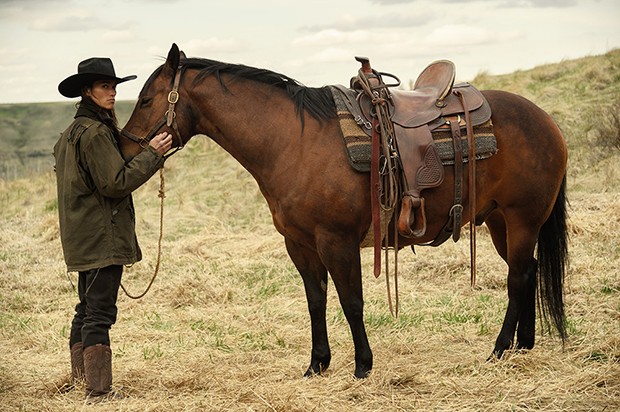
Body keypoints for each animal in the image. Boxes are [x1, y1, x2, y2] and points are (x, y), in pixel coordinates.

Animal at [120, 45, 568, 380]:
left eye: (146, 99)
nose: (124, 150)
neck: (293, 141)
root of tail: (547, 121)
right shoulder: (299, 245)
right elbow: (316, 301)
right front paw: (317, 364)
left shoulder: (337, 241)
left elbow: (351, 301)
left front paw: (362, 366)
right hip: (499, 221)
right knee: (527, 272)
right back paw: (523, 345)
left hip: (522, 219)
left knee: (517, 278)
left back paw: (499, 349)